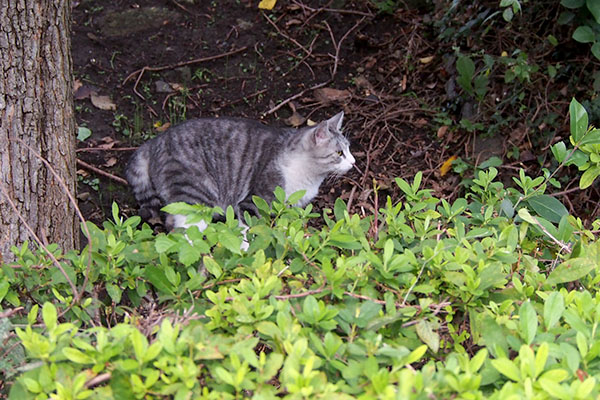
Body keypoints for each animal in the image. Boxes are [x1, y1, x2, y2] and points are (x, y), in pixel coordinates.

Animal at [124, 112, 354, 230]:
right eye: (339, 153)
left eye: (349, 148)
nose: (353, 161)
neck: (309, 175)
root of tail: (155, 142)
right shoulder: (251, 202)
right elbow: (248, 228)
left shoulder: (290, 207)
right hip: (195, 193)